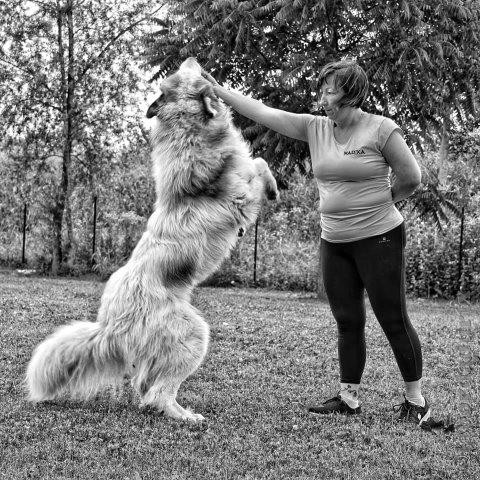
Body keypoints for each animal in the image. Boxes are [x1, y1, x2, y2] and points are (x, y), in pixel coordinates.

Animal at [26, 58, 280, 422]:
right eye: (178, 74)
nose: (191, 57)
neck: (190, 131)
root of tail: (110, 325)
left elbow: (257, 161)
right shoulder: (242, 195)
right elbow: (258, 165)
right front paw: (273, 189)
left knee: (146, 386)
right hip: (193, 335)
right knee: (158, 393)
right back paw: (185, 416)